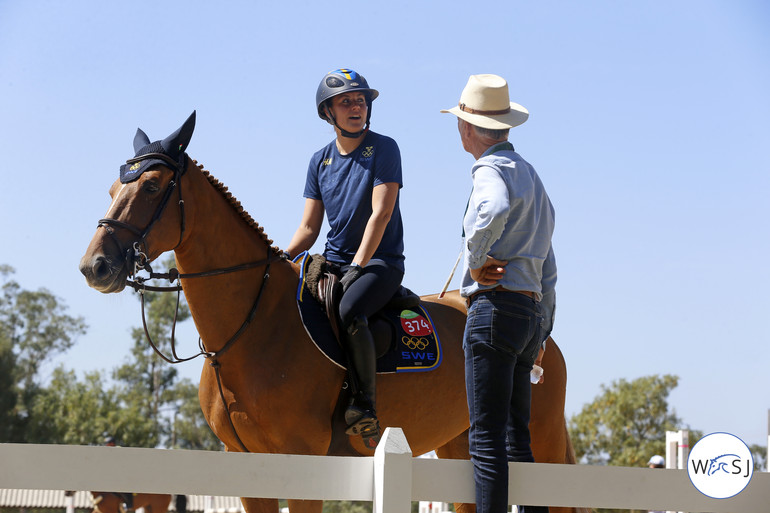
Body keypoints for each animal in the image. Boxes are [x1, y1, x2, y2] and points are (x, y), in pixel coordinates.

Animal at [79, 113, 584, 512]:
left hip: (542, 446)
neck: (254, 328)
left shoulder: (303, 463)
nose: (95, 266)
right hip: (460, 450)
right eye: (112, 188)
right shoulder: (248, 471)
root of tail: (545, 337)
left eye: (151, 186)